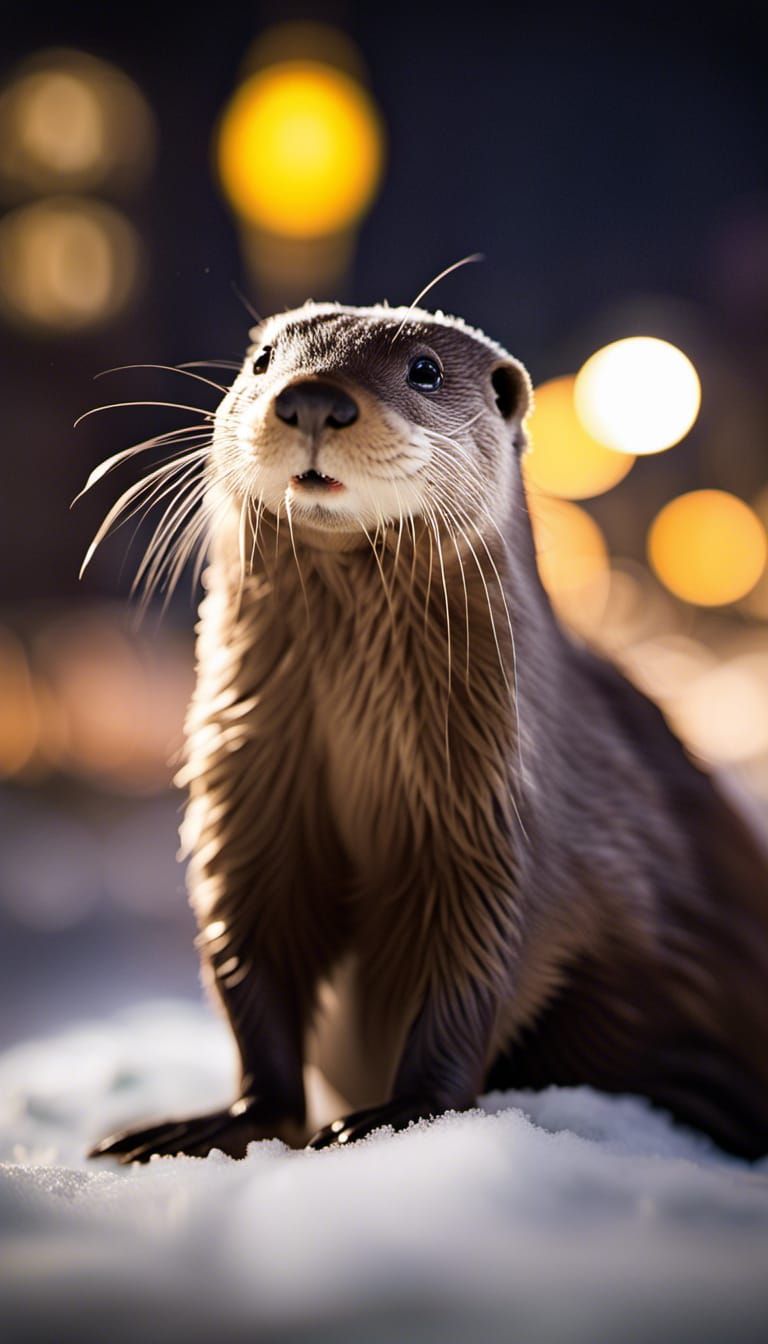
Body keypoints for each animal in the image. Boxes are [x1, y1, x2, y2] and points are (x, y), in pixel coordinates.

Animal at [88, 301, 768, 1164]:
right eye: (265, 361)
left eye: (424, 370)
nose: (314, 398)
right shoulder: (246, 811)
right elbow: (249, 959)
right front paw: (223, 1120)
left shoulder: (504, 834)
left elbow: (479, 969)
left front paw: (394, 1114)